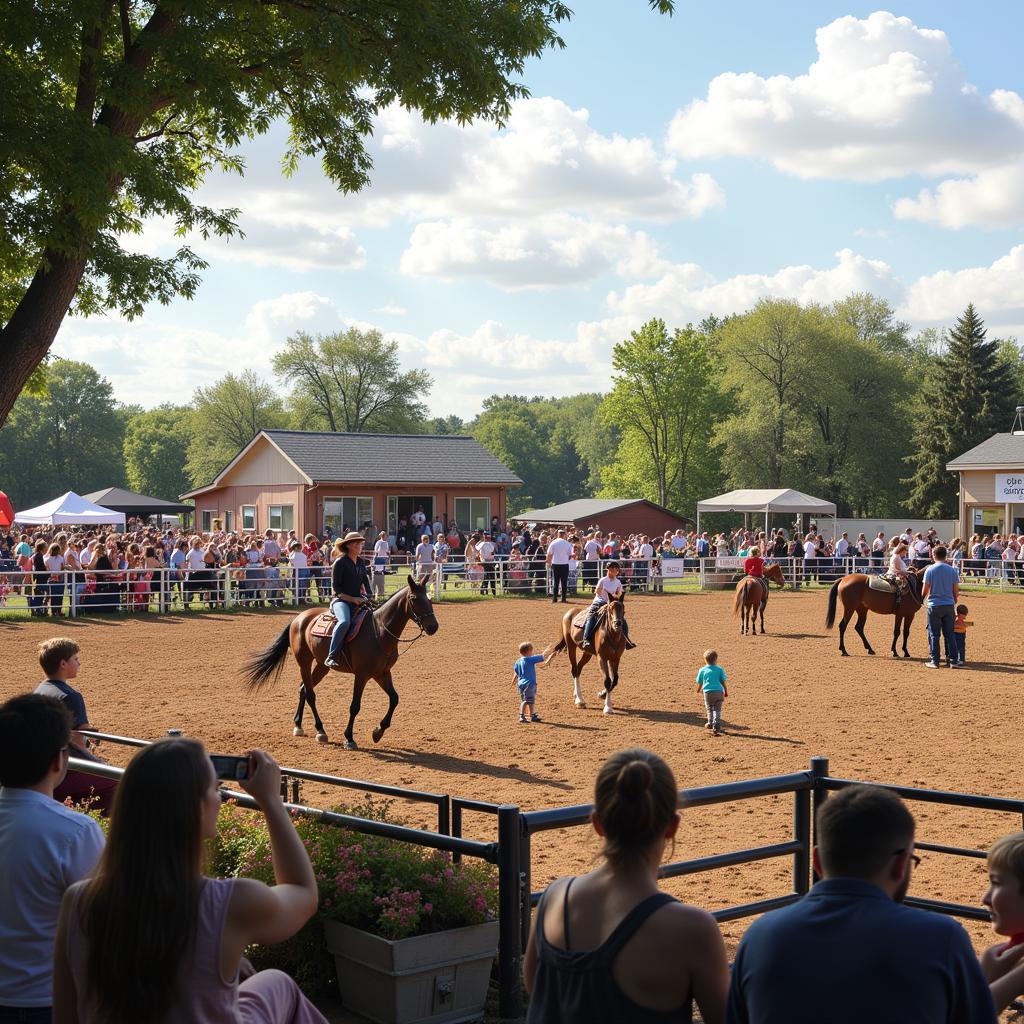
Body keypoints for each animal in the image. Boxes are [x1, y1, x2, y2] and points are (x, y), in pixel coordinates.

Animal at [241, 577, 438, 753]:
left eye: (428, 598)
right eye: (414, 598)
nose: (433, 627)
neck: (379, 631)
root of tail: (299, 618)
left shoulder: (382, 673)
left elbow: (394, 699)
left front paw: (378, 732)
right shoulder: (362, 675)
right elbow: (355, 706)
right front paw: (349, 738)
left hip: (322, 666)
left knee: (303, 688)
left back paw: (298, 725)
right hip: (304, 662)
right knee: (310, 694)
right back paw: (320, 731)